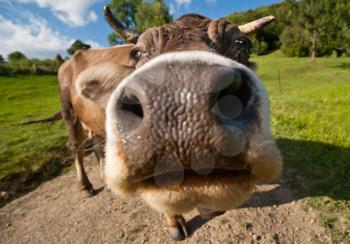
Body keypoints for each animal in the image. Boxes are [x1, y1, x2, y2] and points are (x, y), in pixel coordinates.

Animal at [60, 6, 284, 241]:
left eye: (242, 43)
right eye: (137, 53)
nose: (184, 100)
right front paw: (174, 222)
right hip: (68, 112)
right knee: (76, 147)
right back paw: (85, 186)